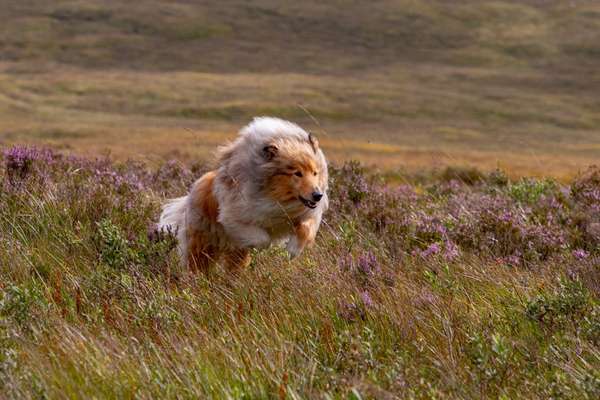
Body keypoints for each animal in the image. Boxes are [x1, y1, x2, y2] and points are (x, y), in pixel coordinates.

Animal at [157, 115, 330, 272]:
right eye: (297, 173)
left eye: (315, 173)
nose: (318, 195)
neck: (277, 198)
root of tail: (193, 189)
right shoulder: (234, 218)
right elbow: (262, 238)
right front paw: (266, 246)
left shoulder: (306, 214)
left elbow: (305, 228)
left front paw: (292, 250)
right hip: (203, 243)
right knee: (196, 264)